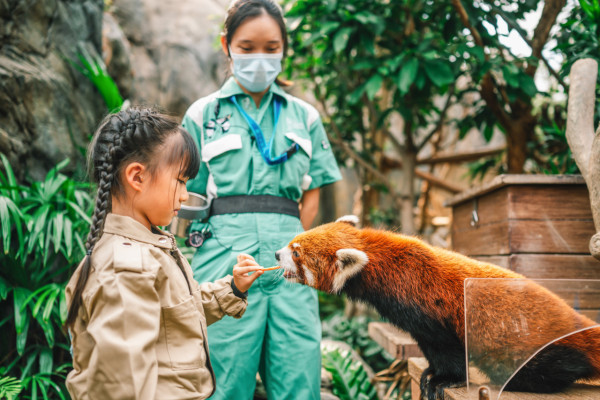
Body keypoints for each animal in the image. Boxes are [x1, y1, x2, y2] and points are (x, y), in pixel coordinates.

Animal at [276, 216, 600, 400]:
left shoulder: (426, 307)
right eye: (291, 243)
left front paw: (443, 379)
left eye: (296, 253)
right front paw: (431, 372)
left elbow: (448, 348)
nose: (277, 253)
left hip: (522, 341)